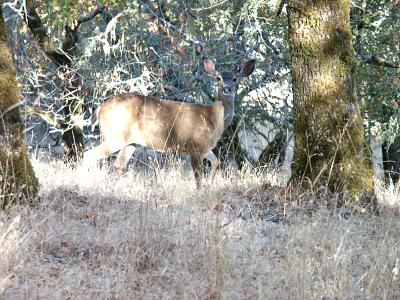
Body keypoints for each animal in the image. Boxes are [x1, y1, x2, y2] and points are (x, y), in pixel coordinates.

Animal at [84, 55, 256, 188]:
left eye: (235, 79)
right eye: (218, 78)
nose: (227, 88)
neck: (213, 118)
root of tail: (100, 108)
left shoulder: (205, 147)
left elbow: (216, 162)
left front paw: (210, 185)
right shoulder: (194, 145)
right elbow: (198, 177)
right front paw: (201, 192)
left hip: (130, 141)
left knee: (118, 164)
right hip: (115, 136)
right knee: (89, 155)